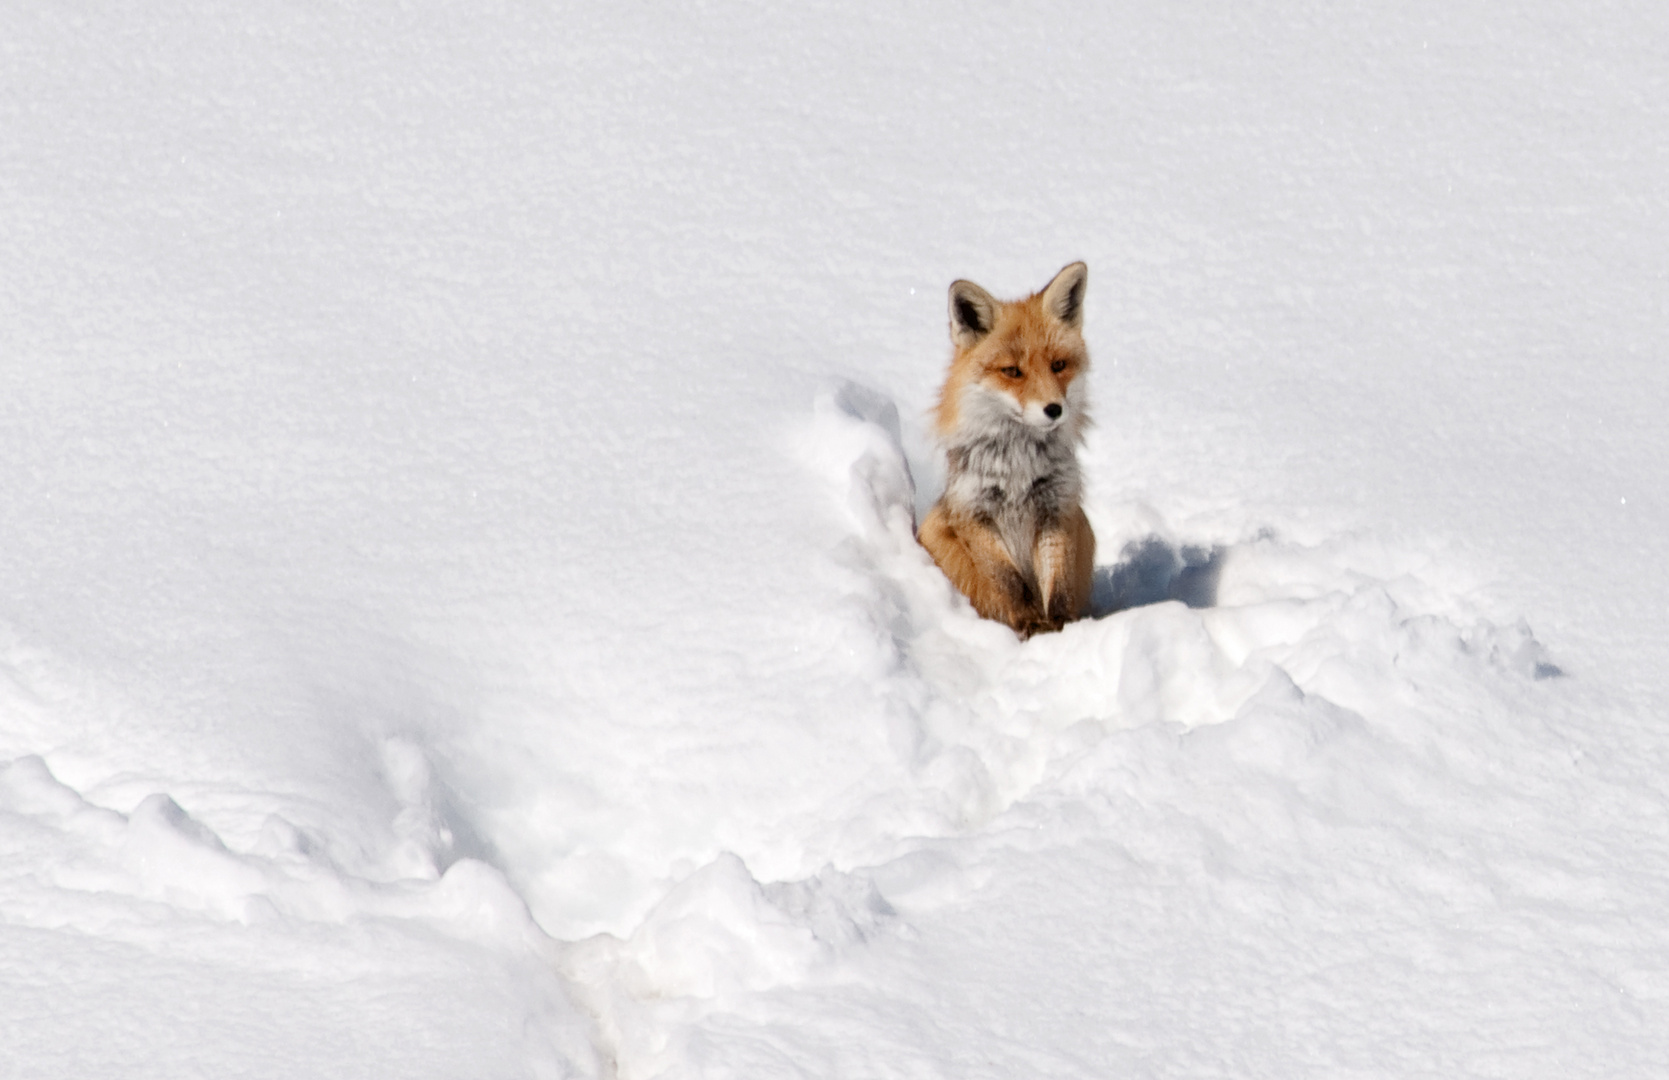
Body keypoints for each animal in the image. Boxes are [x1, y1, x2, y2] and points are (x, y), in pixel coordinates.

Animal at [914, 262, 1094, 637]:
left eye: (1058, 365)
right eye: (1012, 371)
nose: (1054, 409)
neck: (1019, 466)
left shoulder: (1057, 507)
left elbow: (1058, 581)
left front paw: (1062, 627)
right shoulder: (974, 511)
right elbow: (1010, 581)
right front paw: (1031, 624)